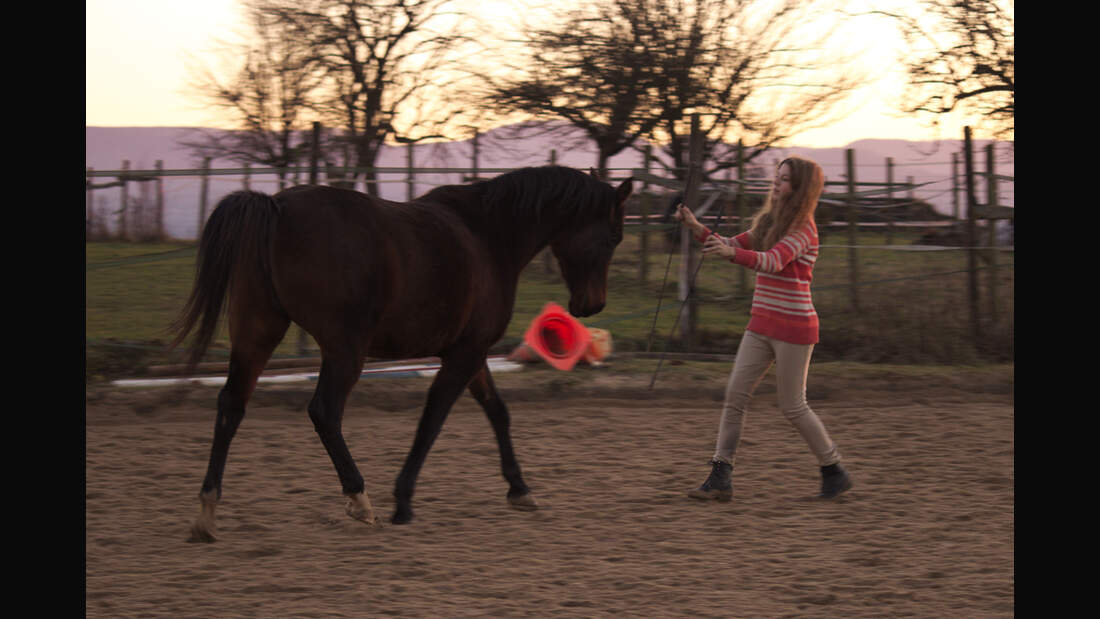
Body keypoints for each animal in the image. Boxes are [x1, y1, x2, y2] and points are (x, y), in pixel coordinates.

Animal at [167, 164, 633, 543]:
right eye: (614, 235)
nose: (592, 306)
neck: (488, 234)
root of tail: (276, 206)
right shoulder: (463, 355)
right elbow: (432, 421)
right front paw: (403, 501)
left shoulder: (472, 352)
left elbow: (497, 412)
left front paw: (520, 489)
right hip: (344, 350)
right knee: (324, 412)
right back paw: (360, 500)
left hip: (258, 333)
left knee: (231, 406)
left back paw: (207, 514)